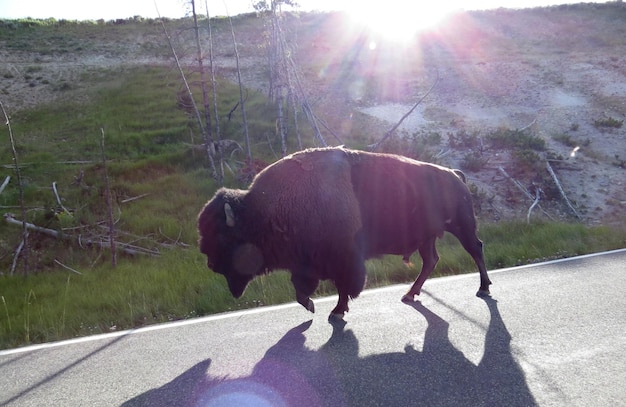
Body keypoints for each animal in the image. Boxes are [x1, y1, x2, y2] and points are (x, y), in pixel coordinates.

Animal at [197, 147, 490, 322]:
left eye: (223, 237)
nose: (210, 263)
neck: (263, 211)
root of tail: (456, 174)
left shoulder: (344, 260)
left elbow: (344, 287)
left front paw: (336, 312)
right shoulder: (306, 264)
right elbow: (300, 290)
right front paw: (313, 306)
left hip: (462, 226)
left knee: (476, 249)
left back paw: (484, 288)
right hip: (427, 238)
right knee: (431, 261)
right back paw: (409, 294)